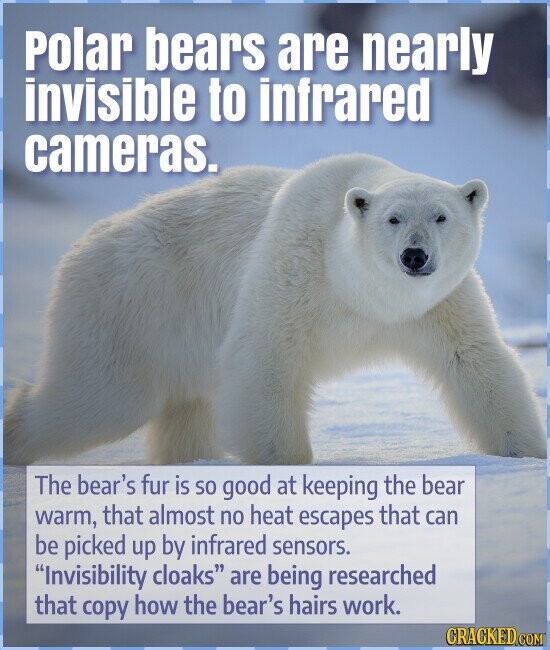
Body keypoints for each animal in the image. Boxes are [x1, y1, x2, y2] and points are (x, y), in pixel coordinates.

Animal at [4, 153, 546, 465]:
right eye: (393, 218)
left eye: (441, 215)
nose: (414, 256)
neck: (362, 292)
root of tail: (82, 247)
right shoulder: (295, 270)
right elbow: (266, 358)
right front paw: (287, 463)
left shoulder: (436, 304)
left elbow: (474, 361)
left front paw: (526, 452)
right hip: (131, 309)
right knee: (98, 398)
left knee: (184, 409)